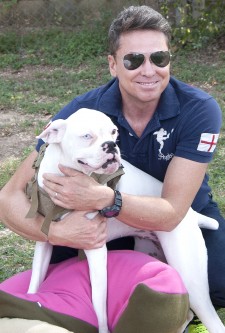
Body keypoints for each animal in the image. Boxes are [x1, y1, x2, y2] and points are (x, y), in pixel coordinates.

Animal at [26, 107, 225, 330]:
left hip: (192, 278)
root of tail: (190, 214)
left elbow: (99, 306)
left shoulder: (96, 251)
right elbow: (34, 282)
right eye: (87, 136)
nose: (111, 145)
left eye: (113, 132)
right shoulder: (44, 243)